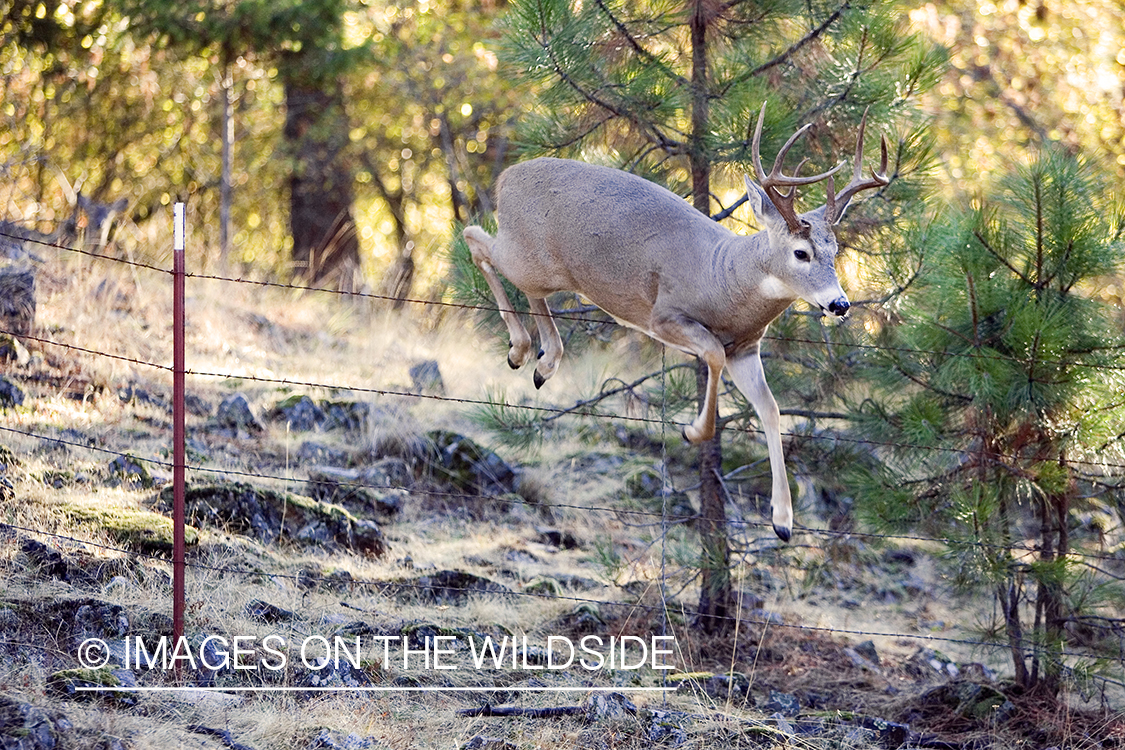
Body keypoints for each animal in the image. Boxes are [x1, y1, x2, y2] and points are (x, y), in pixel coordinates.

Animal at [463, 104, 886, 539]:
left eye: (835, 250)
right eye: (801, 252)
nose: (839, 303)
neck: (723, 279)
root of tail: (505, 179)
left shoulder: (747, 347)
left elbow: (770, 408)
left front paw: (782, 521)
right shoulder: (664, 316)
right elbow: (713, 355)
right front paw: (694, 431)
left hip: (544, 270)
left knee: (524, 285)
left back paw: (544, 363)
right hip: (525, 255)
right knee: (474, 237)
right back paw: (519, 349)